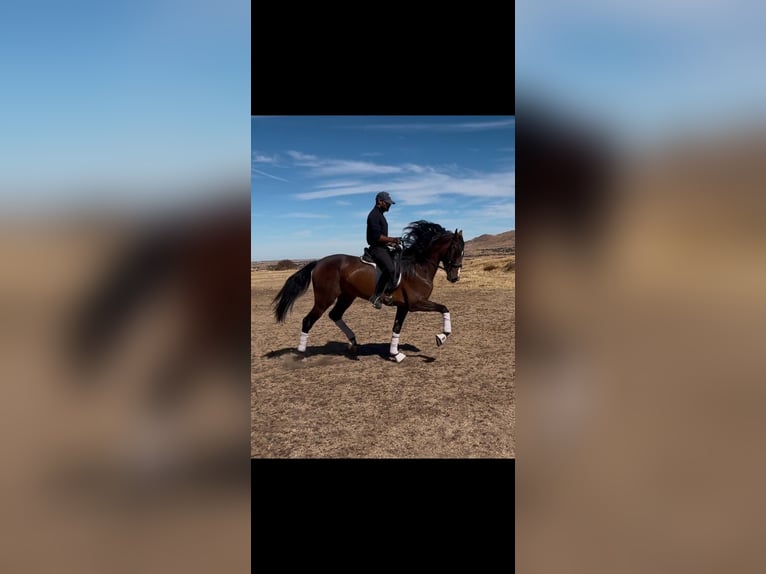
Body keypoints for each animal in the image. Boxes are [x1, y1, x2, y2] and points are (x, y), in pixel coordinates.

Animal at [272, 220, 465, 362]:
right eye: (455, 249)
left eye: (463, 251)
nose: (454, 277)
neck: (418, 267)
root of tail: (319, 262)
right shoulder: (416, 304)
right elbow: (444, 308)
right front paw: (442, 337)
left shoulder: (403, 306)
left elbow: (397, 328)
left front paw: (396, 354)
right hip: (324, 298)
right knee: (308, 320)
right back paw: (301, 354)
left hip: (347, 296)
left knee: (335, 315)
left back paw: (353, 343)